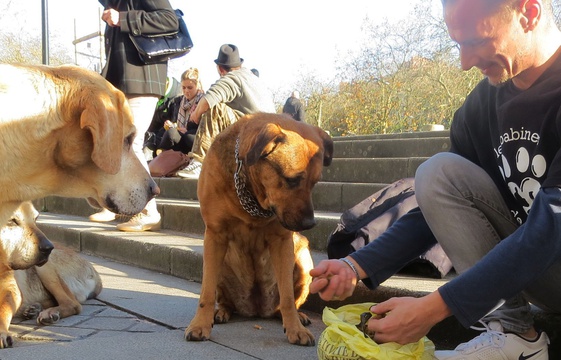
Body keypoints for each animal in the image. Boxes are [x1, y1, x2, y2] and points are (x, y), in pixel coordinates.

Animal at [0, 201, 101, 348]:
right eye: (12, 221)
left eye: (36, 219)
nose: (48, 247)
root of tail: (94, 272)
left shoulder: (10, 290)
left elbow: (3, 309)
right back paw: (33, 308)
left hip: (45, 269)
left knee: (73, 304)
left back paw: (50, 312)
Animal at [184, 112, 332, 346]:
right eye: (292, 180)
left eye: (315, 182)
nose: (310, 224)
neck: (252, 197)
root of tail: (257, 310)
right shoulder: (215, 235)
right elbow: (206, 292)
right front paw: (200, 325)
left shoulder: (282, 240)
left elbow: (287, 296)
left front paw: (295, 329)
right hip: (219, 264)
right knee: (223, 299)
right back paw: (221, 312)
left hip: (303, 259)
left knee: (287, 302)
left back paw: (297, 316)